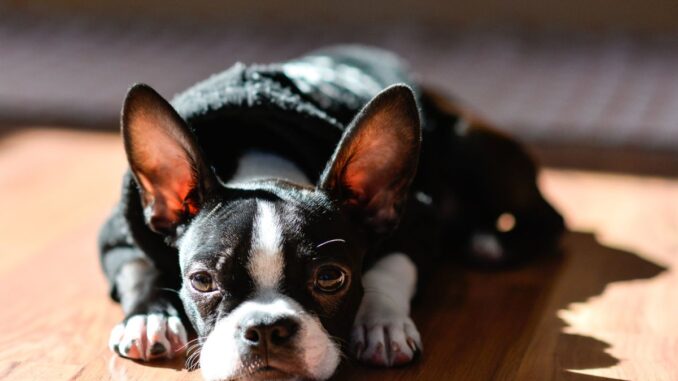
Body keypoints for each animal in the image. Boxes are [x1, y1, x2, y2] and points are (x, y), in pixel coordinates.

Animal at [99, 45, 568, 380]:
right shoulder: (121, 231)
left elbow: (390, 268)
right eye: (201, 281)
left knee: (549, 216)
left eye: (330, 278)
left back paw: (487, 242)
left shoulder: (417, 223)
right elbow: (139, 268)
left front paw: (381, 325)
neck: (264, 164)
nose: (266, 328)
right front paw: (149, 319)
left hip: (466, 144)